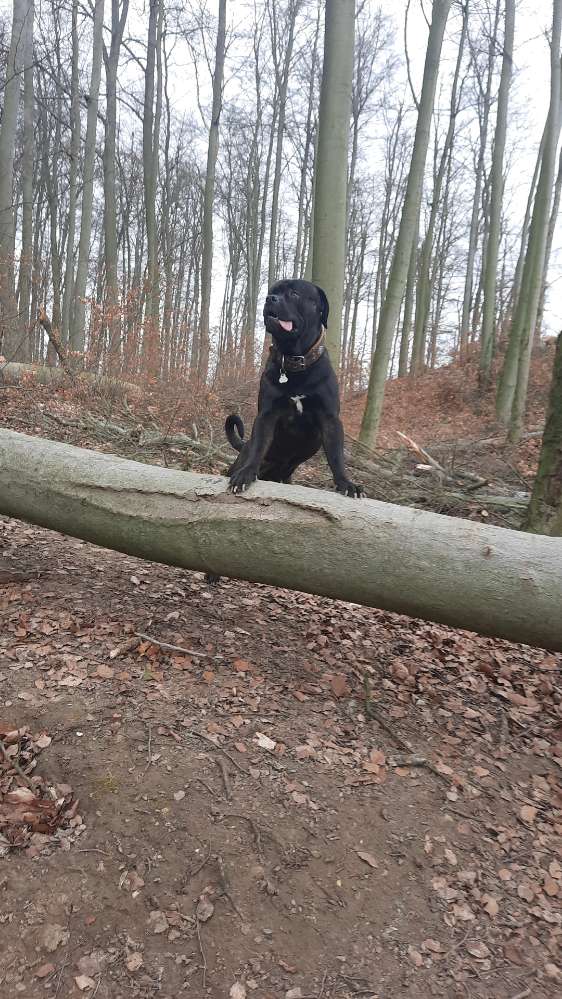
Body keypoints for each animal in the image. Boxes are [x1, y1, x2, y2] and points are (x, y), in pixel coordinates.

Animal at [224, 280, 364, 498]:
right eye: (272, 291)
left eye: (294, 293)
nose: (270, 298)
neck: (294, 362)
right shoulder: (266, 415)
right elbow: (259, 447)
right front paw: (246, 474)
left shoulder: (330, 419)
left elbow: (336, 456)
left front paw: (346, 483)